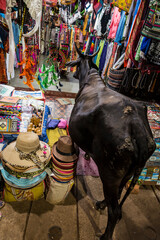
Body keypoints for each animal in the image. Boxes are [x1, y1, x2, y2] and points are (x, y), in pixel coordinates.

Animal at [65, 44, 156, 239]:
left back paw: (105, 234)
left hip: (110, 173)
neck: (90, 78)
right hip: (130, 172)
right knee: (119, 195)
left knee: (114, 211)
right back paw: (101, 203)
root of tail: (136, 125)